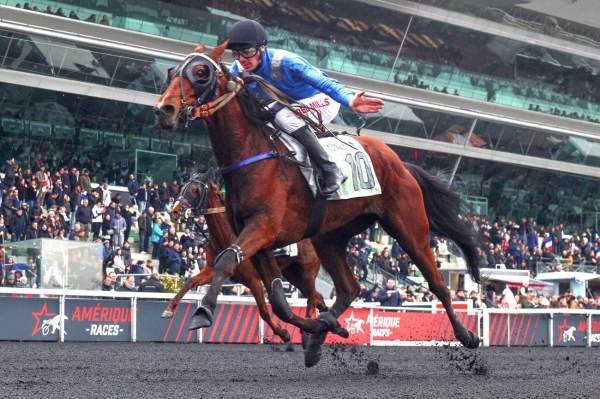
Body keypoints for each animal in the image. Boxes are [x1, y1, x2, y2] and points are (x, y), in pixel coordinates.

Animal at [162, 170, 326, 346]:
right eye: (182, 187)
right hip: (293, 274)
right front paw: (169, 309)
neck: (228, 236)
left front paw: (283, 334)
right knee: (318, 298)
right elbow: (189, 283)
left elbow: (264, 312)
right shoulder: (213, 269)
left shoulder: (252, 279)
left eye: (195, 190)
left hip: (307, 273)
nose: (174, 211)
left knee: (313, 298)